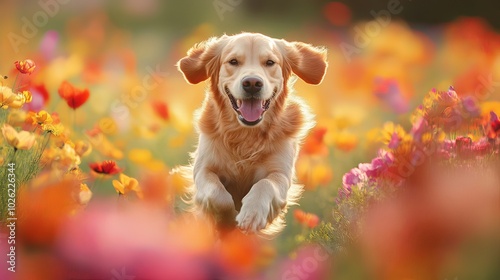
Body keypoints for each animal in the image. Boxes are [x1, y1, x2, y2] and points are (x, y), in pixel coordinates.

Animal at [177, 31, 328, 235]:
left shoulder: (281, 173)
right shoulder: (203, 169)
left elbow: (266, 184)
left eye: (270, 62)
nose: (252, 83)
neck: (246, 135)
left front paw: (253, 214)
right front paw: (226, 221)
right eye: (233, 61)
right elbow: (218, 195)